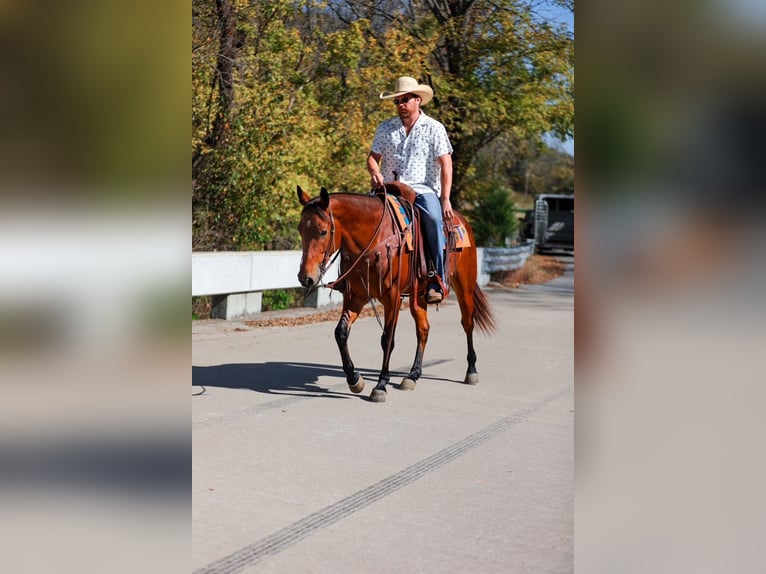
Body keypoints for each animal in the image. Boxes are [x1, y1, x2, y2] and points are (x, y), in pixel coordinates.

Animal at [297, 183, 495, 403]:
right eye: (300, 229)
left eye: (323, 231)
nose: (305, 277)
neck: (375, 238)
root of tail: (463, 221)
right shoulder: (356, 295)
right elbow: (340, 333)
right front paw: (354, 379)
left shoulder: (392, 297)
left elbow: (387, 340)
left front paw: (381, 385)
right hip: (418, 296)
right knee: (423, 329)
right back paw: (413, 375)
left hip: (464, 287)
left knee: (468, 323)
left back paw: (471, 370)